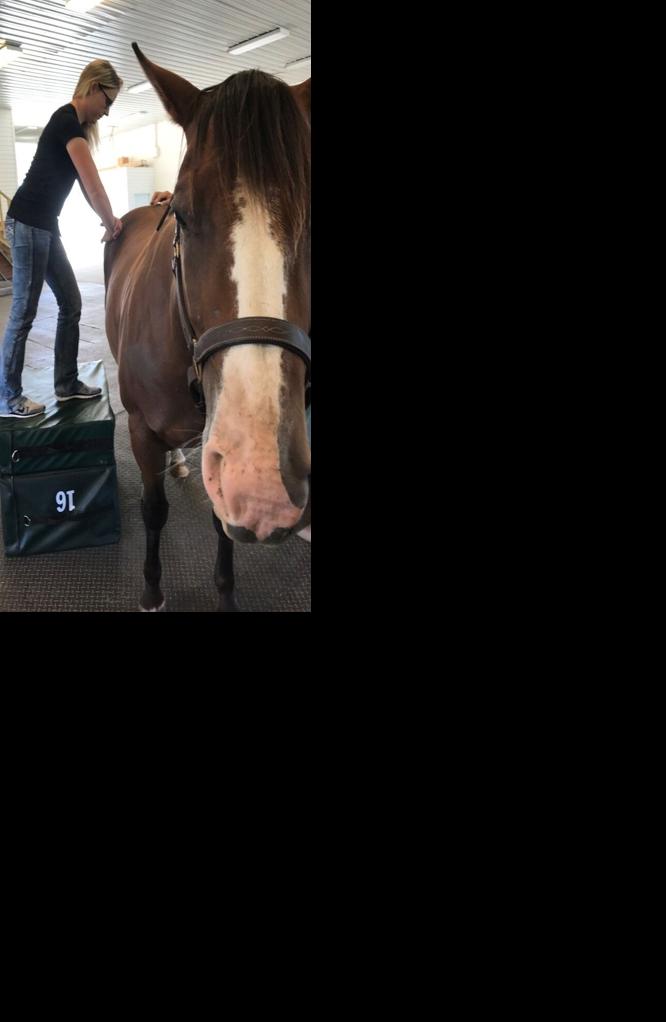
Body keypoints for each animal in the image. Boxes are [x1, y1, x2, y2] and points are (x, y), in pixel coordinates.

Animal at [104, 44, 311, 612]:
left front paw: (226, 593)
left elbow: (223, 526)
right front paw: (152, 589)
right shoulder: (139, 429)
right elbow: (154, 510)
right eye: (182, 213)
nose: (262, 485)